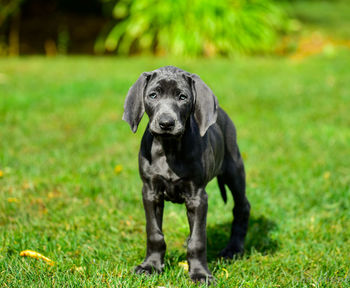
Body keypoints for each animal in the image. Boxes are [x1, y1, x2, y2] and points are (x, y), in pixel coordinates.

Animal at [121, 65, 250, 284]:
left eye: (182, 97)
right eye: (153, 95)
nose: (166, 123)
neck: (170, 148)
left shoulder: (197, 196)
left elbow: (198, 239)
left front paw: (200, 273)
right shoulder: (150, 192)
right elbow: (154, 233)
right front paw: (150, 266)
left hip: (234, 170)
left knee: (242, 207)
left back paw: (232, 250)